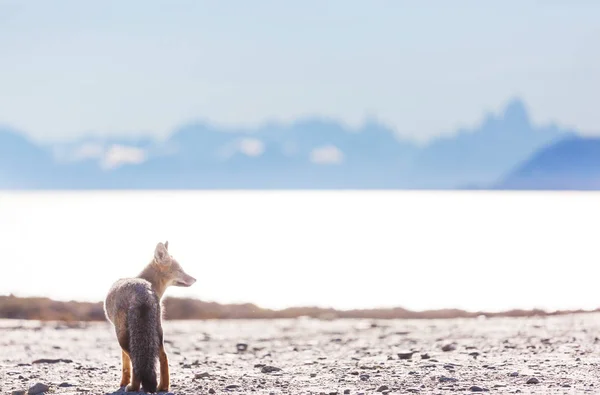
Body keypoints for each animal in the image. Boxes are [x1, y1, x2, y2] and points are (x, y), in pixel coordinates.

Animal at [103, 241, 197, 392]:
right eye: (180, 270)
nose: (195, 279)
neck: (147, 281)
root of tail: (143, 290)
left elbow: (126, 363)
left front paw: (124, 383)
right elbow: (125, 363)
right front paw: (123, 381)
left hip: (122, 335)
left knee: (135, 361)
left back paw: (134, 387)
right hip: (157, 332)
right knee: (163, 356)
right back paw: (162, 387)